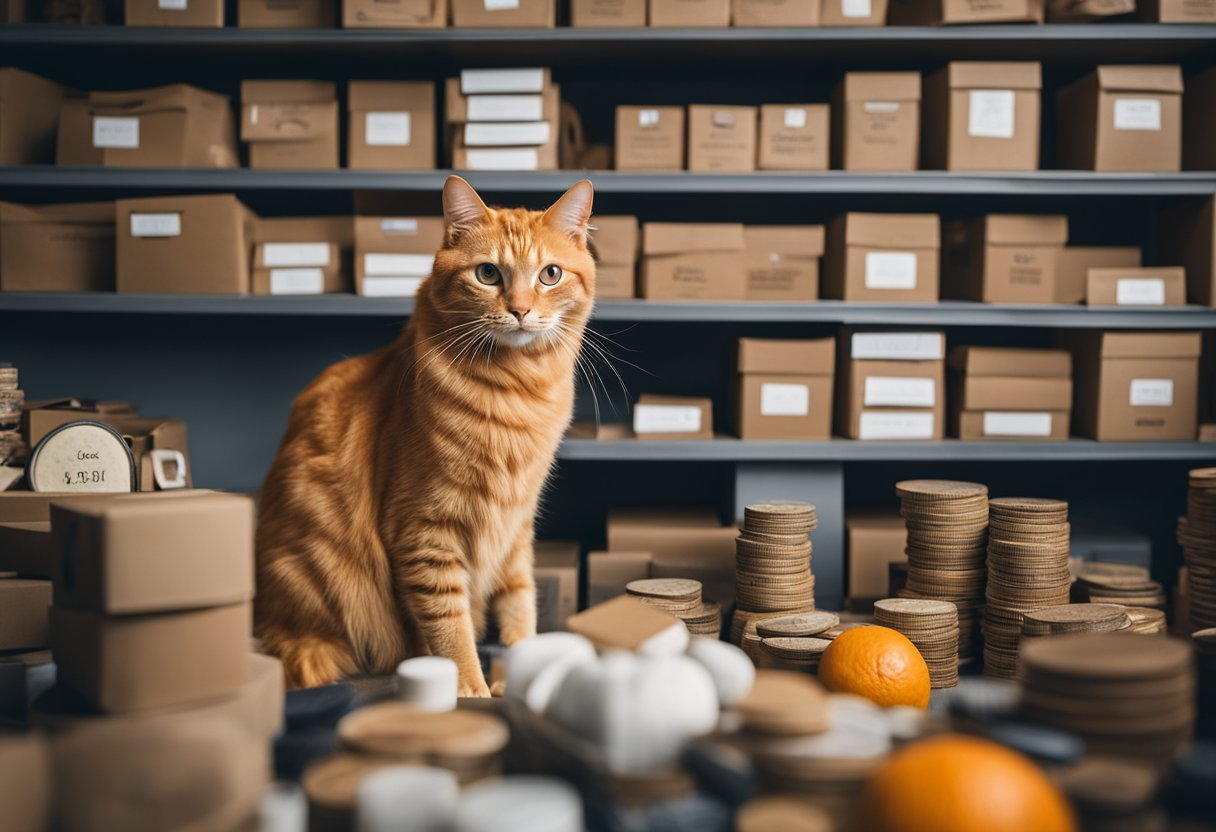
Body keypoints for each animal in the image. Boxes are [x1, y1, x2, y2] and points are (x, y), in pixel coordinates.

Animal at [254, 177, 595, 695]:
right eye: (488, 274)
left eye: (550, 275)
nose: (519, 310)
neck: (518, 393)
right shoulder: (425, 531)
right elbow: (449, 624)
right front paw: (470, 687)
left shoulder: (515, 527)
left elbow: (519, 603)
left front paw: (519, 669)